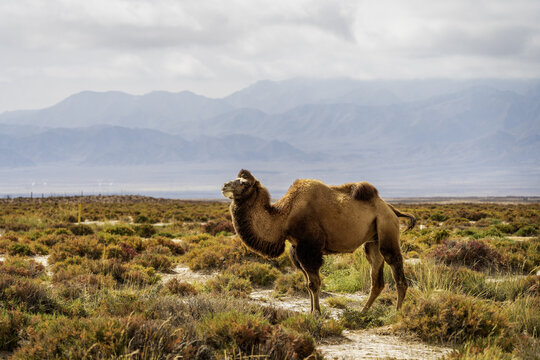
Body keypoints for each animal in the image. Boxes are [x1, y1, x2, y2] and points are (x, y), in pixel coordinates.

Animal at [221, 170, 416, 314]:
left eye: (244, 183)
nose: (224, 185)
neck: (284, 216)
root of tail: (391, 208)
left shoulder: (309, 249)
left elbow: (314, 284)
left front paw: (317, 313)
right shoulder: (296, 250)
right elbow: (308, 284)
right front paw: (311, 311)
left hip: (387, 228)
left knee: (396, 269)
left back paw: (397, 313)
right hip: (372, 241)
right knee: (376, 276)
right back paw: (363, 311)